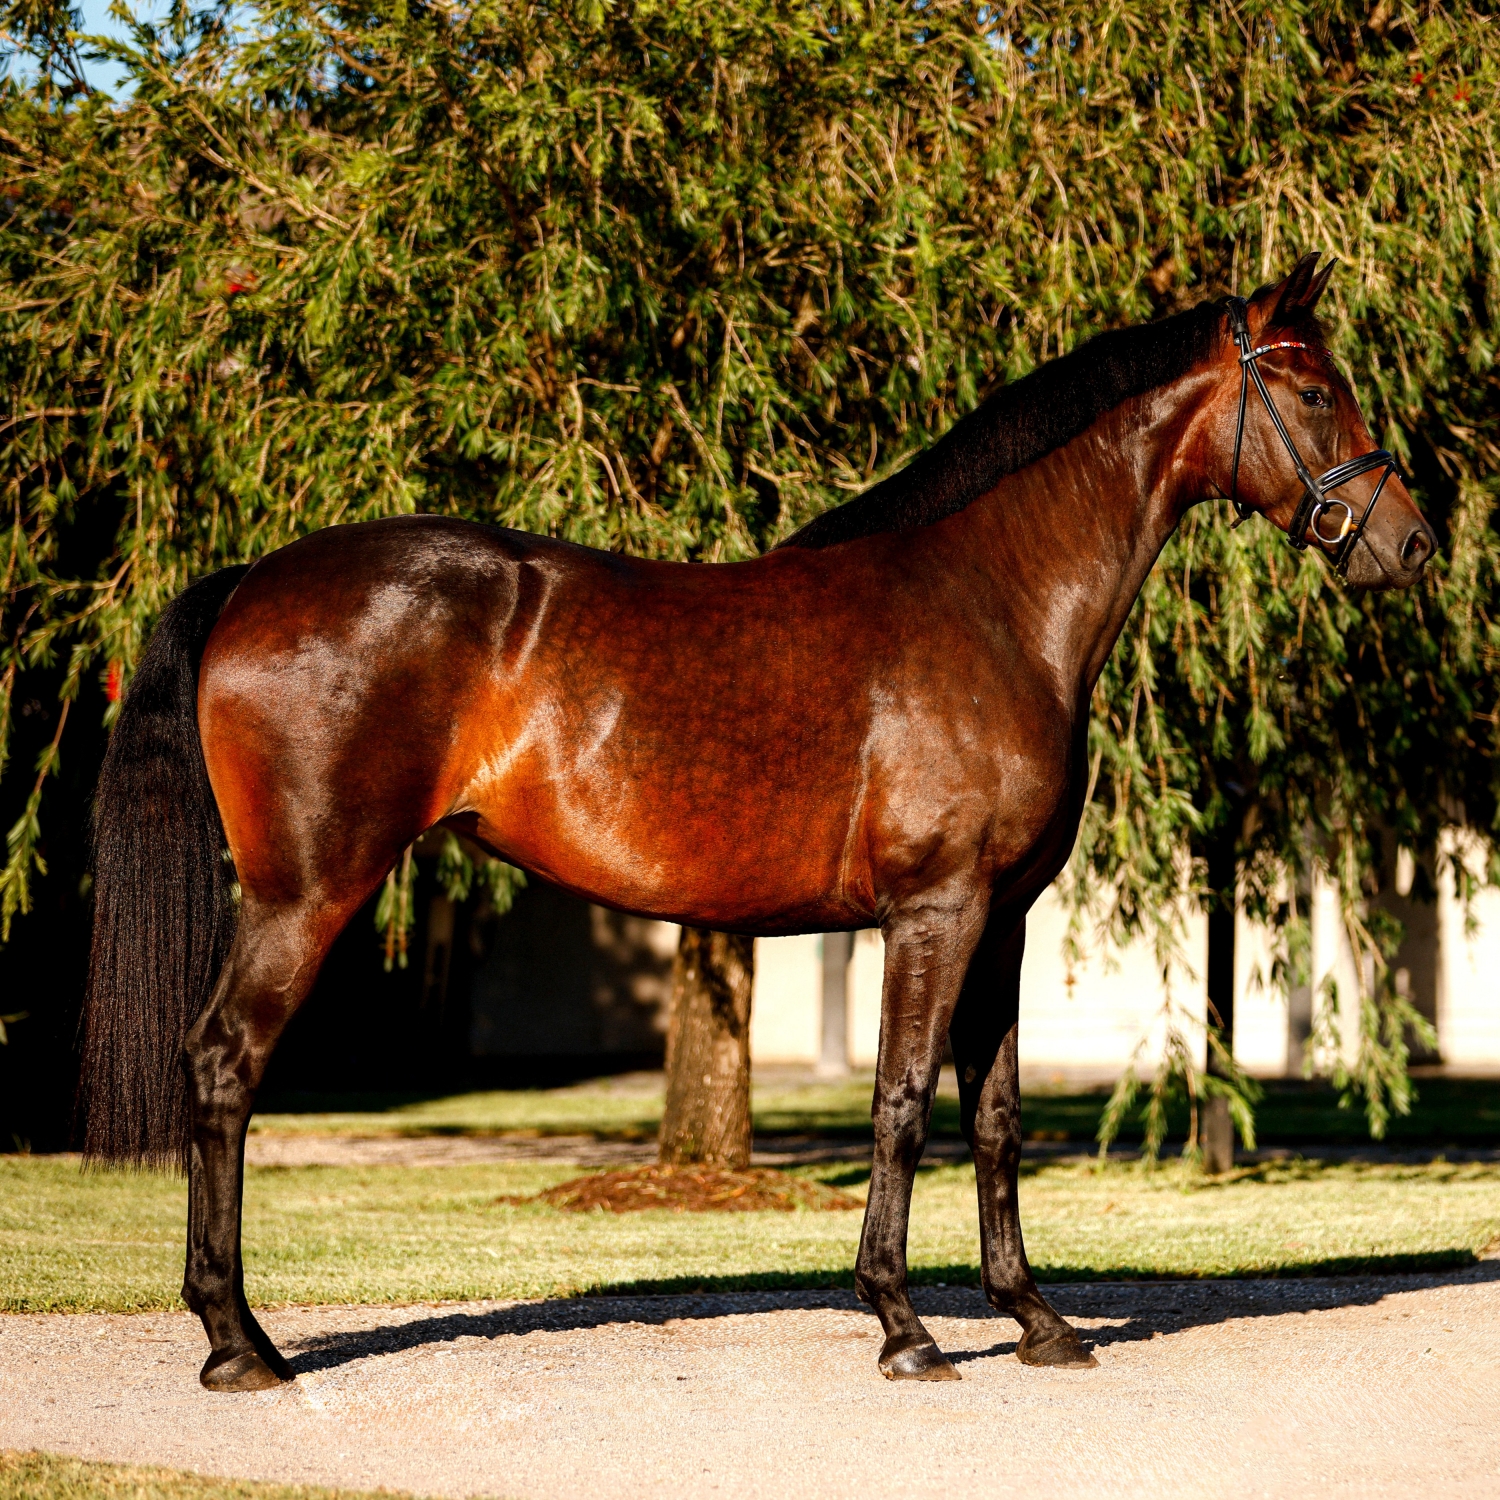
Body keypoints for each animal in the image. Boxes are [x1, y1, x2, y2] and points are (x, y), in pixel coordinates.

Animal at [78, 255, 1435, 1390]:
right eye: (1314, 391)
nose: (1411, 545)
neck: (994, 601)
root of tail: (252, 584)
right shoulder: (934, 910)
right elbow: (901, 1102)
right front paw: (904, 1328)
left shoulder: (1001, 922)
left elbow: (993, 1119)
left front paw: (1037, 1321)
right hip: (306, 894)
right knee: (224, 1066)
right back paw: (239, 1346)